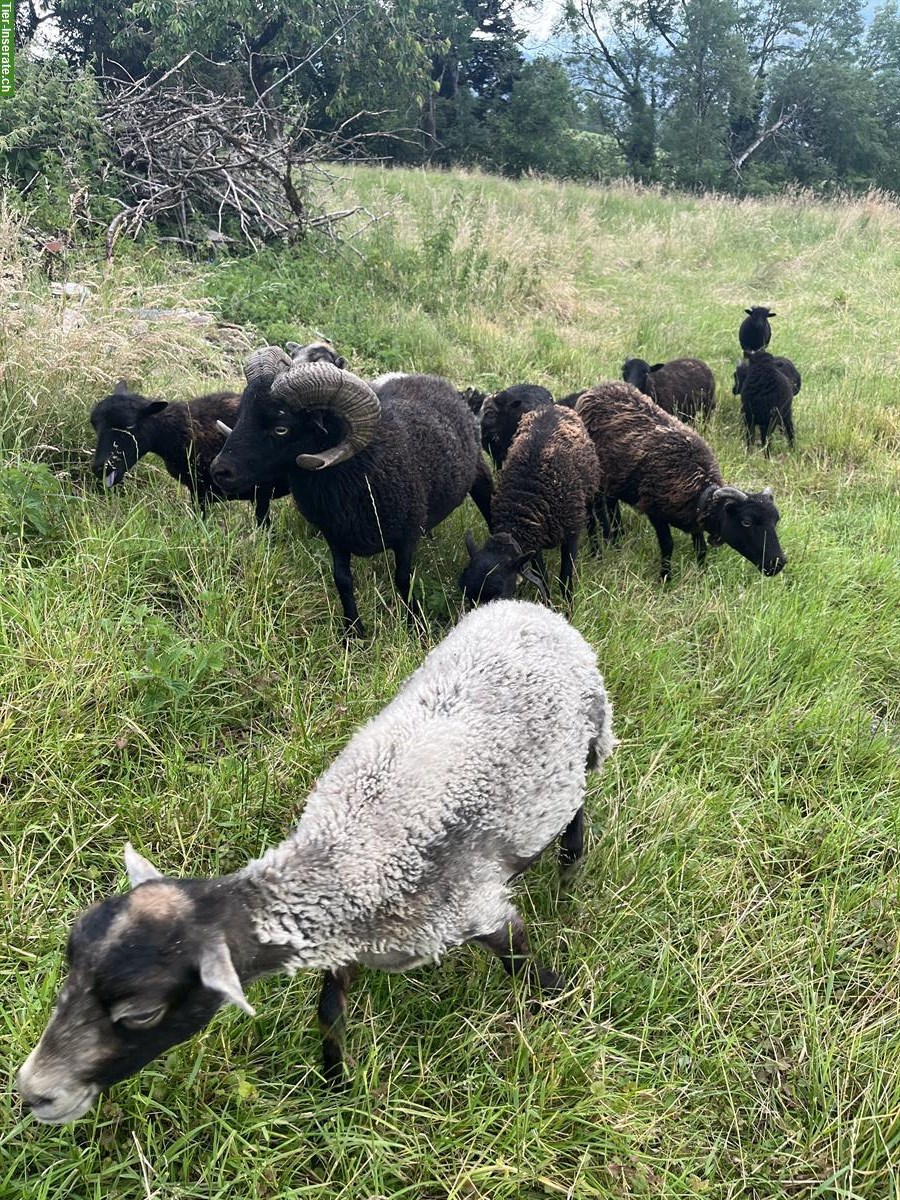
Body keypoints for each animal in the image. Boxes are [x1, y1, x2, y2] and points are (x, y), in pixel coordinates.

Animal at [17, 600, 619, 1123]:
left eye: (142, 1014)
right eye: (70, 960)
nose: (32, 1093)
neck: (346, 855)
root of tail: (527, 607)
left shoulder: (478, 908)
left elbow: (523, 962)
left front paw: (563, 1004)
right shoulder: (347, 942)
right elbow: (329, 1013)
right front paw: (335, 1087)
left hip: (588, 740)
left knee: (577, 808)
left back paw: (571, 869)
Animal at [208, 348, 496, 638]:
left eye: (281, 427)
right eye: (241, 413)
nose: (220, 471)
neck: (362, 467)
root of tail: (435, 380)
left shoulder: (407, 535)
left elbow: (403, 579)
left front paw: (414, 624)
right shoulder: (335, 535)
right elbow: (342, 580)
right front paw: (353, 631)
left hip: (479, 476)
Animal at [460, 405, 602, 609]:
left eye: (499, 595)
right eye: (467, 595)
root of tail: (553, 407)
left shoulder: (571, 533)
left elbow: (565, 579)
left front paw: (568, 610)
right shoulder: (534, 542)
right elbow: (542, 578)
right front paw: (548, 605)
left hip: (589, 495)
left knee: (591, 522)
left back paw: (597, 552)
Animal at [578, 379, 787, 576]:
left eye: (776, 520)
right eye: (746, 522)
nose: (778, 563)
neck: (699, 489)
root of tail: (600, 387)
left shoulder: (696, 521)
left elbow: (701, 548)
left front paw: (702, 573)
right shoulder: (655, 512)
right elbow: (667, 546)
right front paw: (665, 578)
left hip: (616, 480)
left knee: (612, 506)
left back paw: (617, 536)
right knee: (601, 509)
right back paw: (609, 540)